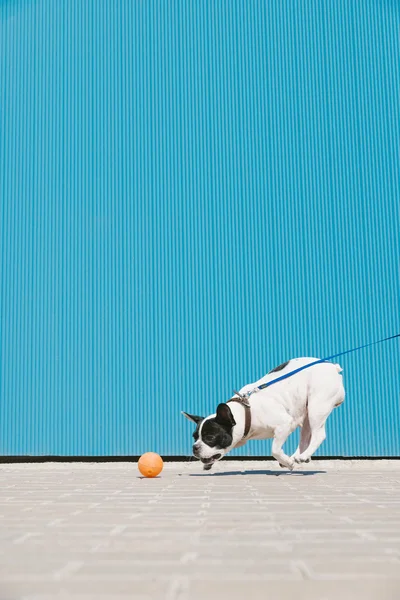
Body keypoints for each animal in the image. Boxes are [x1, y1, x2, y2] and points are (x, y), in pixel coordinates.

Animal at [183, 358, 346, 472]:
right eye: (194, 437)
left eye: (210, 437)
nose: (194, 447)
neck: (246, 412)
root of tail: (333, 367)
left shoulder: (284, 424)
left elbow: (274, 450)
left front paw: (288, 463)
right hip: (306, 412)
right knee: (305, 436)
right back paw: (297, 456)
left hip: (316, 407)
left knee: (319, 435)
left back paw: (301, 456)